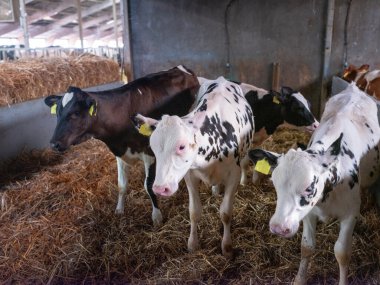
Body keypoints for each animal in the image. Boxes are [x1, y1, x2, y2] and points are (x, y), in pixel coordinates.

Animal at [44, 65, 199, 226]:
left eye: (75, 113)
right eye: (57, 113)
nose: (54, 144)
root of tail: (180, 68)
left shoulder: (149, 153)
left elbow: (149, 186)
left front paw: (156, 217)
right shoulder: (120, 152)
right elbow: (121, 185)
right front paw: (119, 210)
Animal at [132, 76, 254, 258]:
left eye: (181, 146)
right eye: (152, 146)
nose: (160, 188)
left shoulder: (234, 173)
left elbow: (225, 213)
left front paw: (227, 247)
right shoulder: (190, 175)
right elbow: (194, 212)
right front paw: (193, 244)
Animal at [248, 81, 380, 282]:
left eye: (309, 188)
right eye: (276, 187)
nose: (278, 228)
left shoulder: (351, 213)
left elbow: (342, 252)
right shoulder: (309, 212)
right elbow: (307, 247)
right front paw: (299, 280)